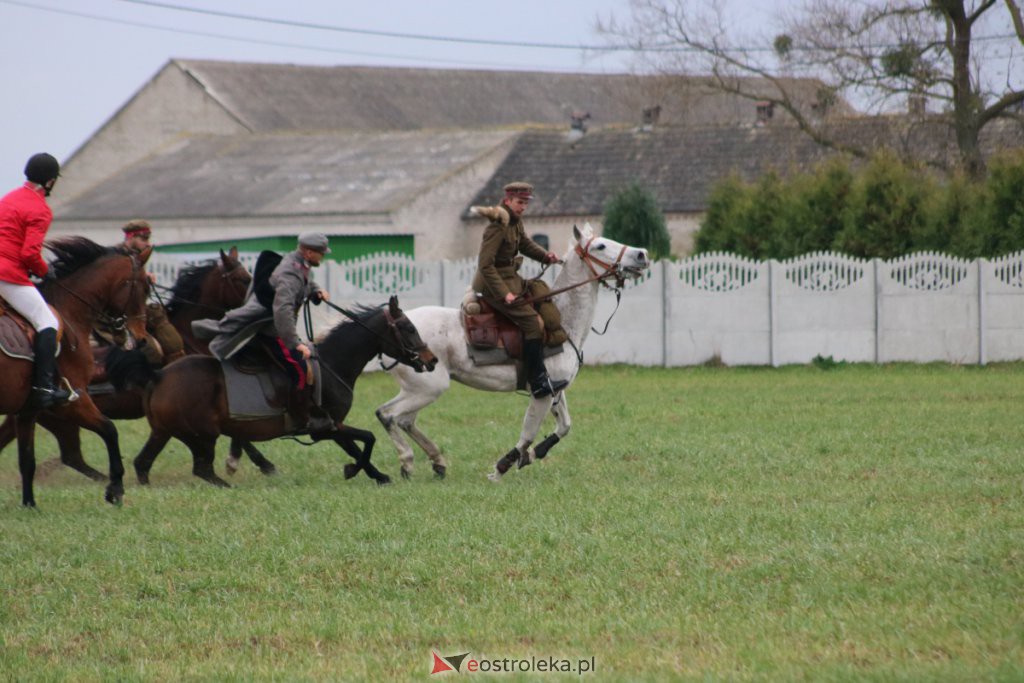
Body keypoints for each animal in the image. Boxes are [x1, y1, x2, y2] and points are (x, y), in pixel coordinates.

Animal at [0, 246, 276, 481]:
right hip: (63, 417)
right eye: (243, 279)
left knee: (69, 456)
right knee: (72, 456)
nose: (266, 306)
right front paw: (251, 462)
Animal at [2, 239, 149, 507]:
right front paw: (115, 488)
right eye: (144, 287)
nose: (142, 338)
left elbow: (27, 461)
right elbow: (110, 430)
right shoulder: (72, 400)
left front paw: (29, 505)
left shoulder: (28, 410)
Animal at [108, 296, 436, 489]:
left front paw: (370, 473)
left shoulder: (333, 428)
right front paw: (361, 471)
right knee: (202, 468)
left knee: (143, 463)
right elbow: (366, 440)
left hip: (165, 432)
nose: (431, 360)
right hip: (202, 434)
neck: (332, 365)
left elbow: (361, 444)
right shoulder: (327, 427)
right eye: (408, 327)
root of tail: (159, 373)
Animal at [374, 224, 647, 481]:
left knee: (404, 420)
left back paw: (437, 462)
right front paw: (502, 466)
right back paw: (408, 462)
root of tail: (393, 326)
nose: (642, 254)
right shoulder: (541, 393)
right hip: (427, 388)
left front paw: (533, 454)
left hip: (419, 390)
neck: (563, 323)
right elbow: (528, 432)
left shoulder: (556, 390)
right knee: (387, 415)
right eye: (600, 246)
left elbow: (564, 426)